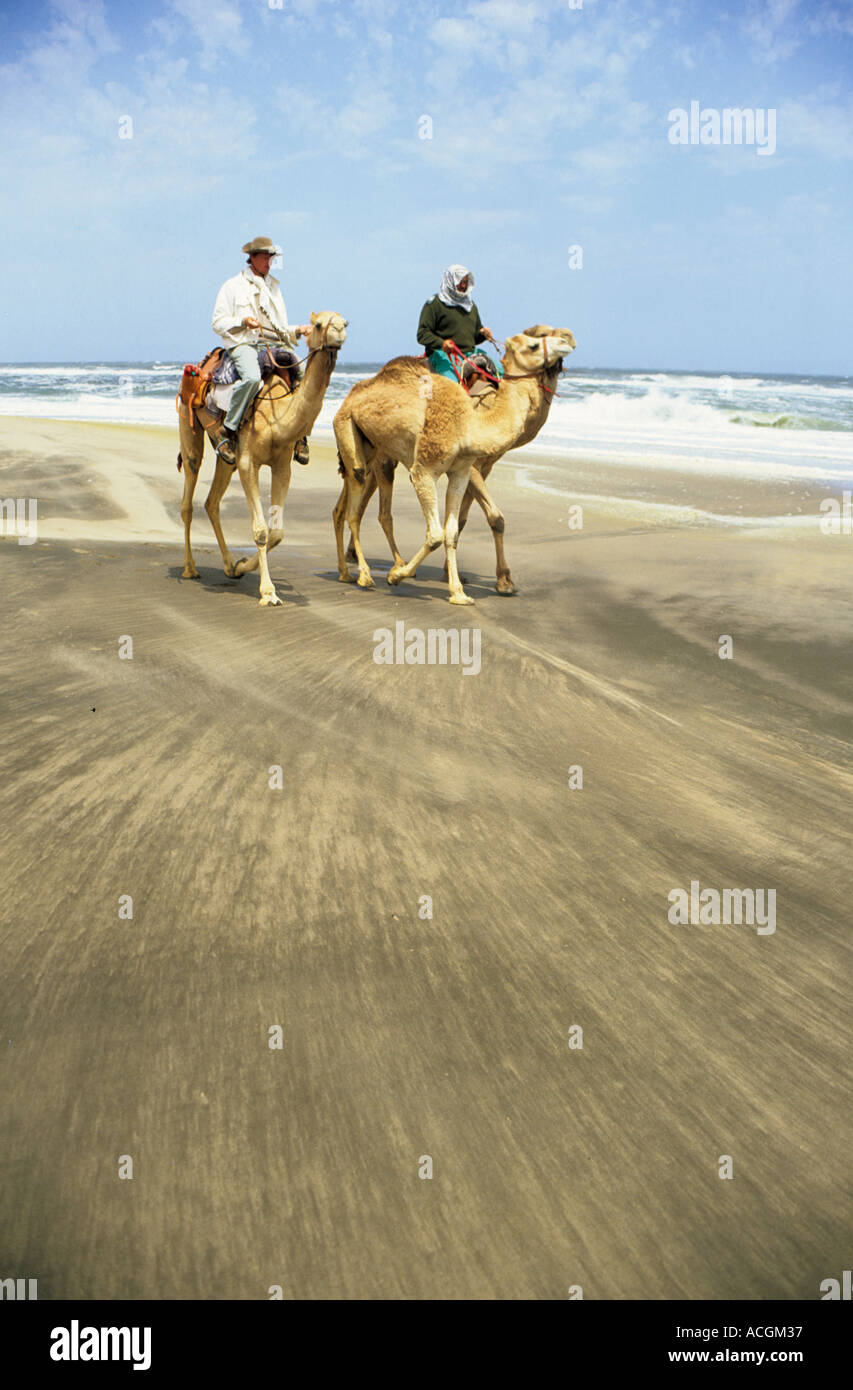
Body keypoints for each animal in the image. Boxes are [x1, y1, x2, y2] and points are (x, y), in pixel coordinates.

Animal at [177, 312, 347, 606]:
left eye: (345, 322)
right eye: (318, 324)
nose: (338, 331)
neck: (277, 416)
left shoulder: (281, 466)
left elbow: (276, 533)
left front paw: (242, 566)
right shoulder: (249, 464)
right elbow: (260, 530)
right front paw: (268, 592)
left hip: (228, 458)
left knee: (212, 501)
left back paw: (228, 565)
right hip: (188, 425)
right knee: (189, 493)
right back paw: (190, 568)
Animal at [334, 330, 575, 608]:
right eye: (534, 344)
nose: (567, 340)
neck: (469, 423)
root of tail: (351, 395)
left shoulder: (461, 472)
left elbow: (451, 531)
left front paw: (458, 593)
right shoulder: (423, 471)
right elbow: (436, 534)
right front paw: (396, 576)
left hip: (373, 447)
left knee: (351, 506)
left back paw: (347, 571)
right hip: (348, 430)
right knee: (355, 508)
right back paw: (364, 575)